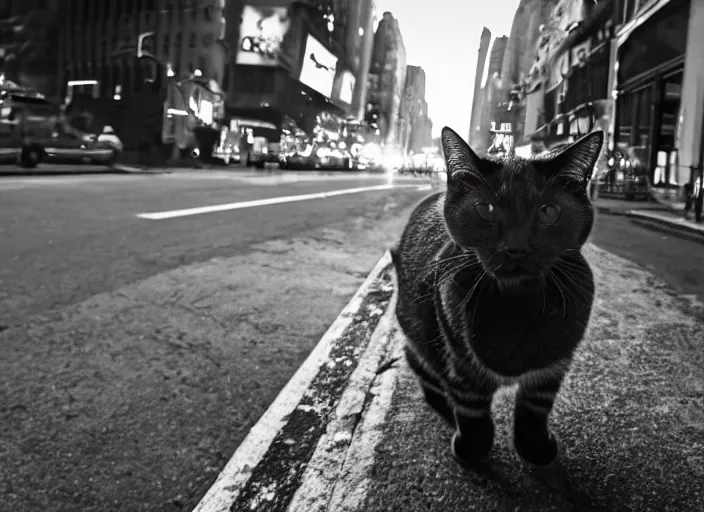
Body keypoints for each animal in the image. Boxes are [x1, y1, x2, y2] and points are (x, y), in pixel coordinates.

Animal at [394, 127, 604, 468]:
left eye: (548, 212)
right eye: (486, 209)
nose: (515, 248)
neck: (517, 301)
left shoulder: (553, 365)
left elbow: (535, 410)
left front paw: (534, 448)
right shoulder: (460, 363)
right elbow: (472, 411)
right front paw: (472, 450)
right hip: (416, 337)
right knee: (426, 372)